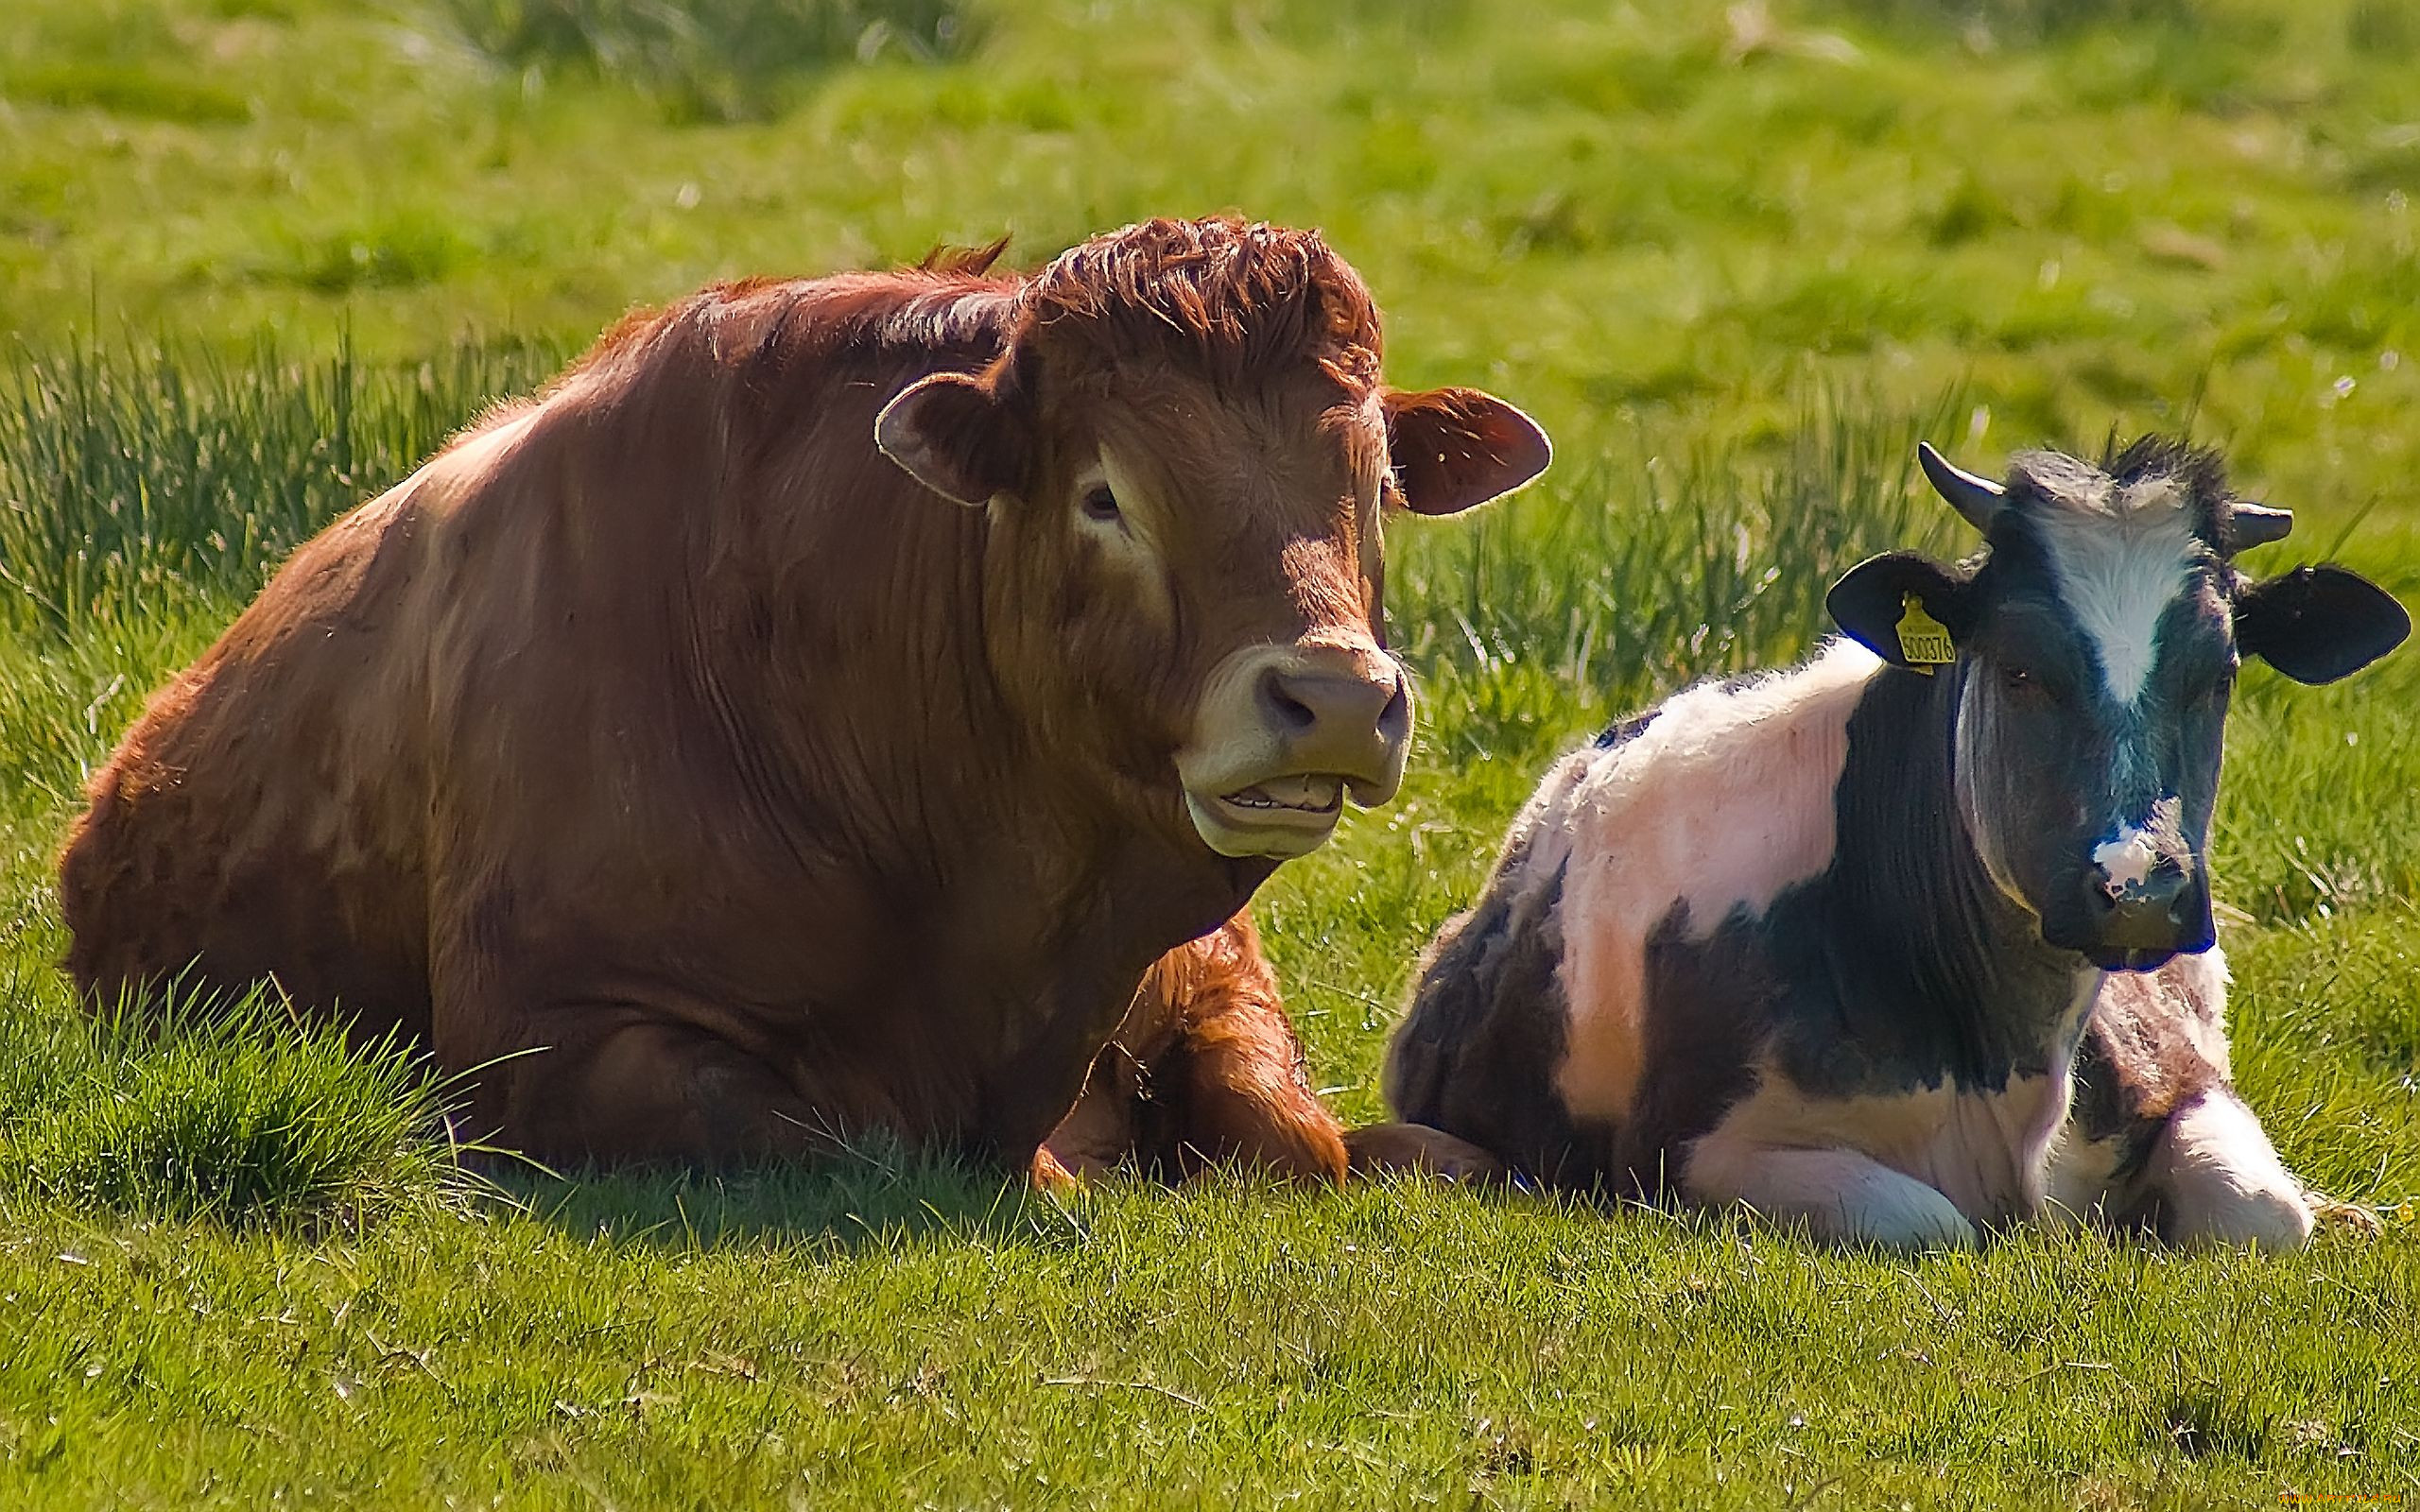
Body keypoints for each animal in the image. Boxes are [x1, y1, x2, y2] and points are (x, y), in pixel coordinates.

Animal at [60, 215, 1548, 1180]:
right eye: (1104, 494)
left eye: (1374, 483)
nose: (1335, 698)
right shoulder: (551, 1035)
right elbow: (853, 1135)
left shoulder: (1209, 972)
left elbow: (1306, 1138)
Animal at [1355, 435, 2410, 1247]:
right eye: (2018, 667)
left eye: (2221, 670)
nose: (2139, 889)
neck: (2006, 1053)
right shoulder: (1688, 1148)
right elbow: (1927, 1220)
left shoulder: (2182, 1078)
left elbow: (2263, 1211)